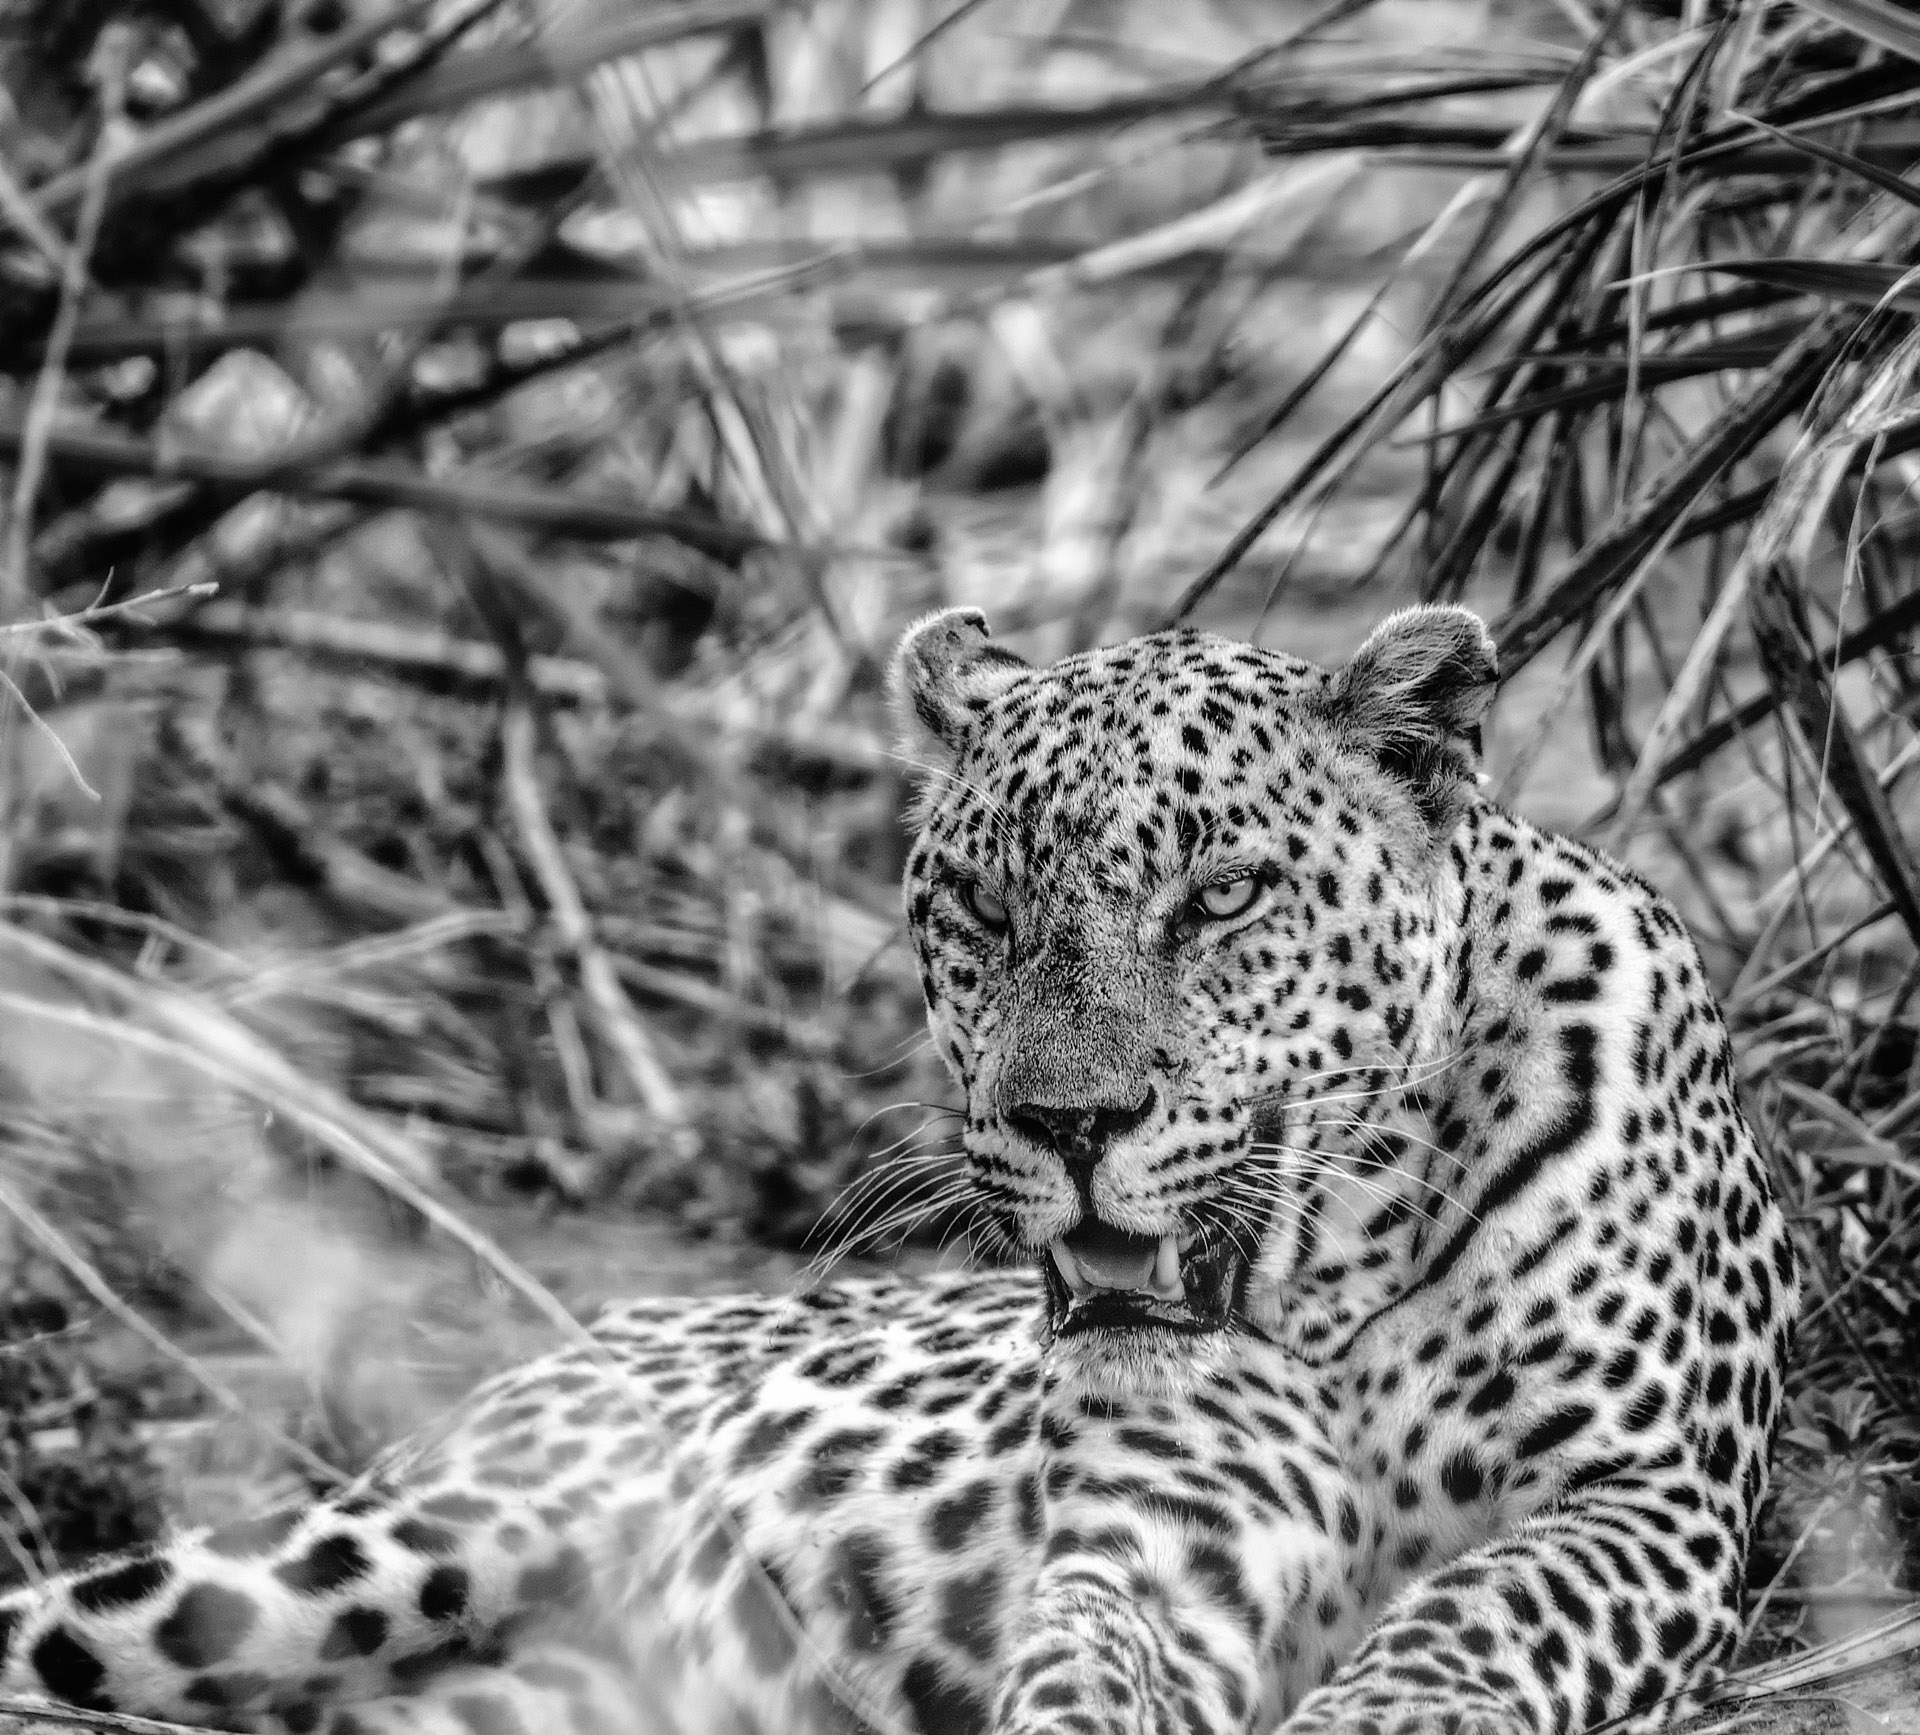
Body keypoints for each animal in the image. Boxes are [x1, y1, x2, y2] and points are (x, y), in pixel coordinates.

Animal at [0, 604, 1796, 1735]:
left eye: (1221, 896)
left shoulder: (1647, 1499)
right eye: (983, 908)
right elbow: (1079, 1671)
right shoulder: (1156, 1538)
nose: (1073, 1121)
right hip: (392, 1542)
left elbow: (1471, 1621)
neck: (1334, 1273)